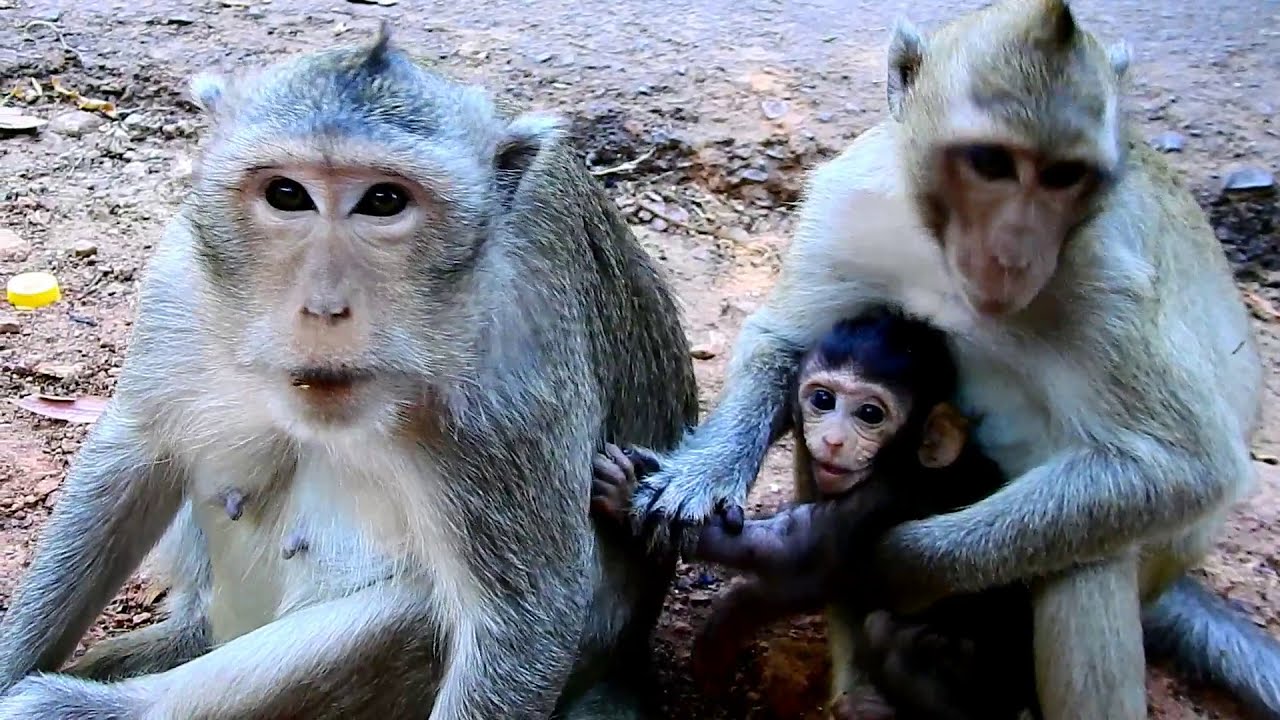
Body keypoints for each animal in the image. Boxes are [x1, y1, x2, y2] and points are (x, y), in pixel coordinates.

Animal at [0, 24, 698, 720]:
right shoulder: (182, 278)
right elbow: (132, 458)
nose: (323, 307)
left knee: (418, 607)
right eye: (287, 195)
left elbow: (525, 618)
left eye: (383, 201)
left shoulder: (512, 370)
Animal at [592, 308, 1038, 720]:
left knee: (887, 632)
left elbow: (799, 547)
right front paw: (735, 616)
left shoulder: (887, 492)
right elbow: (811, 571)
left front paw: (629, 492)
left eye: (871, 414)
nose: (835, 440)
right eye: (823, 400)